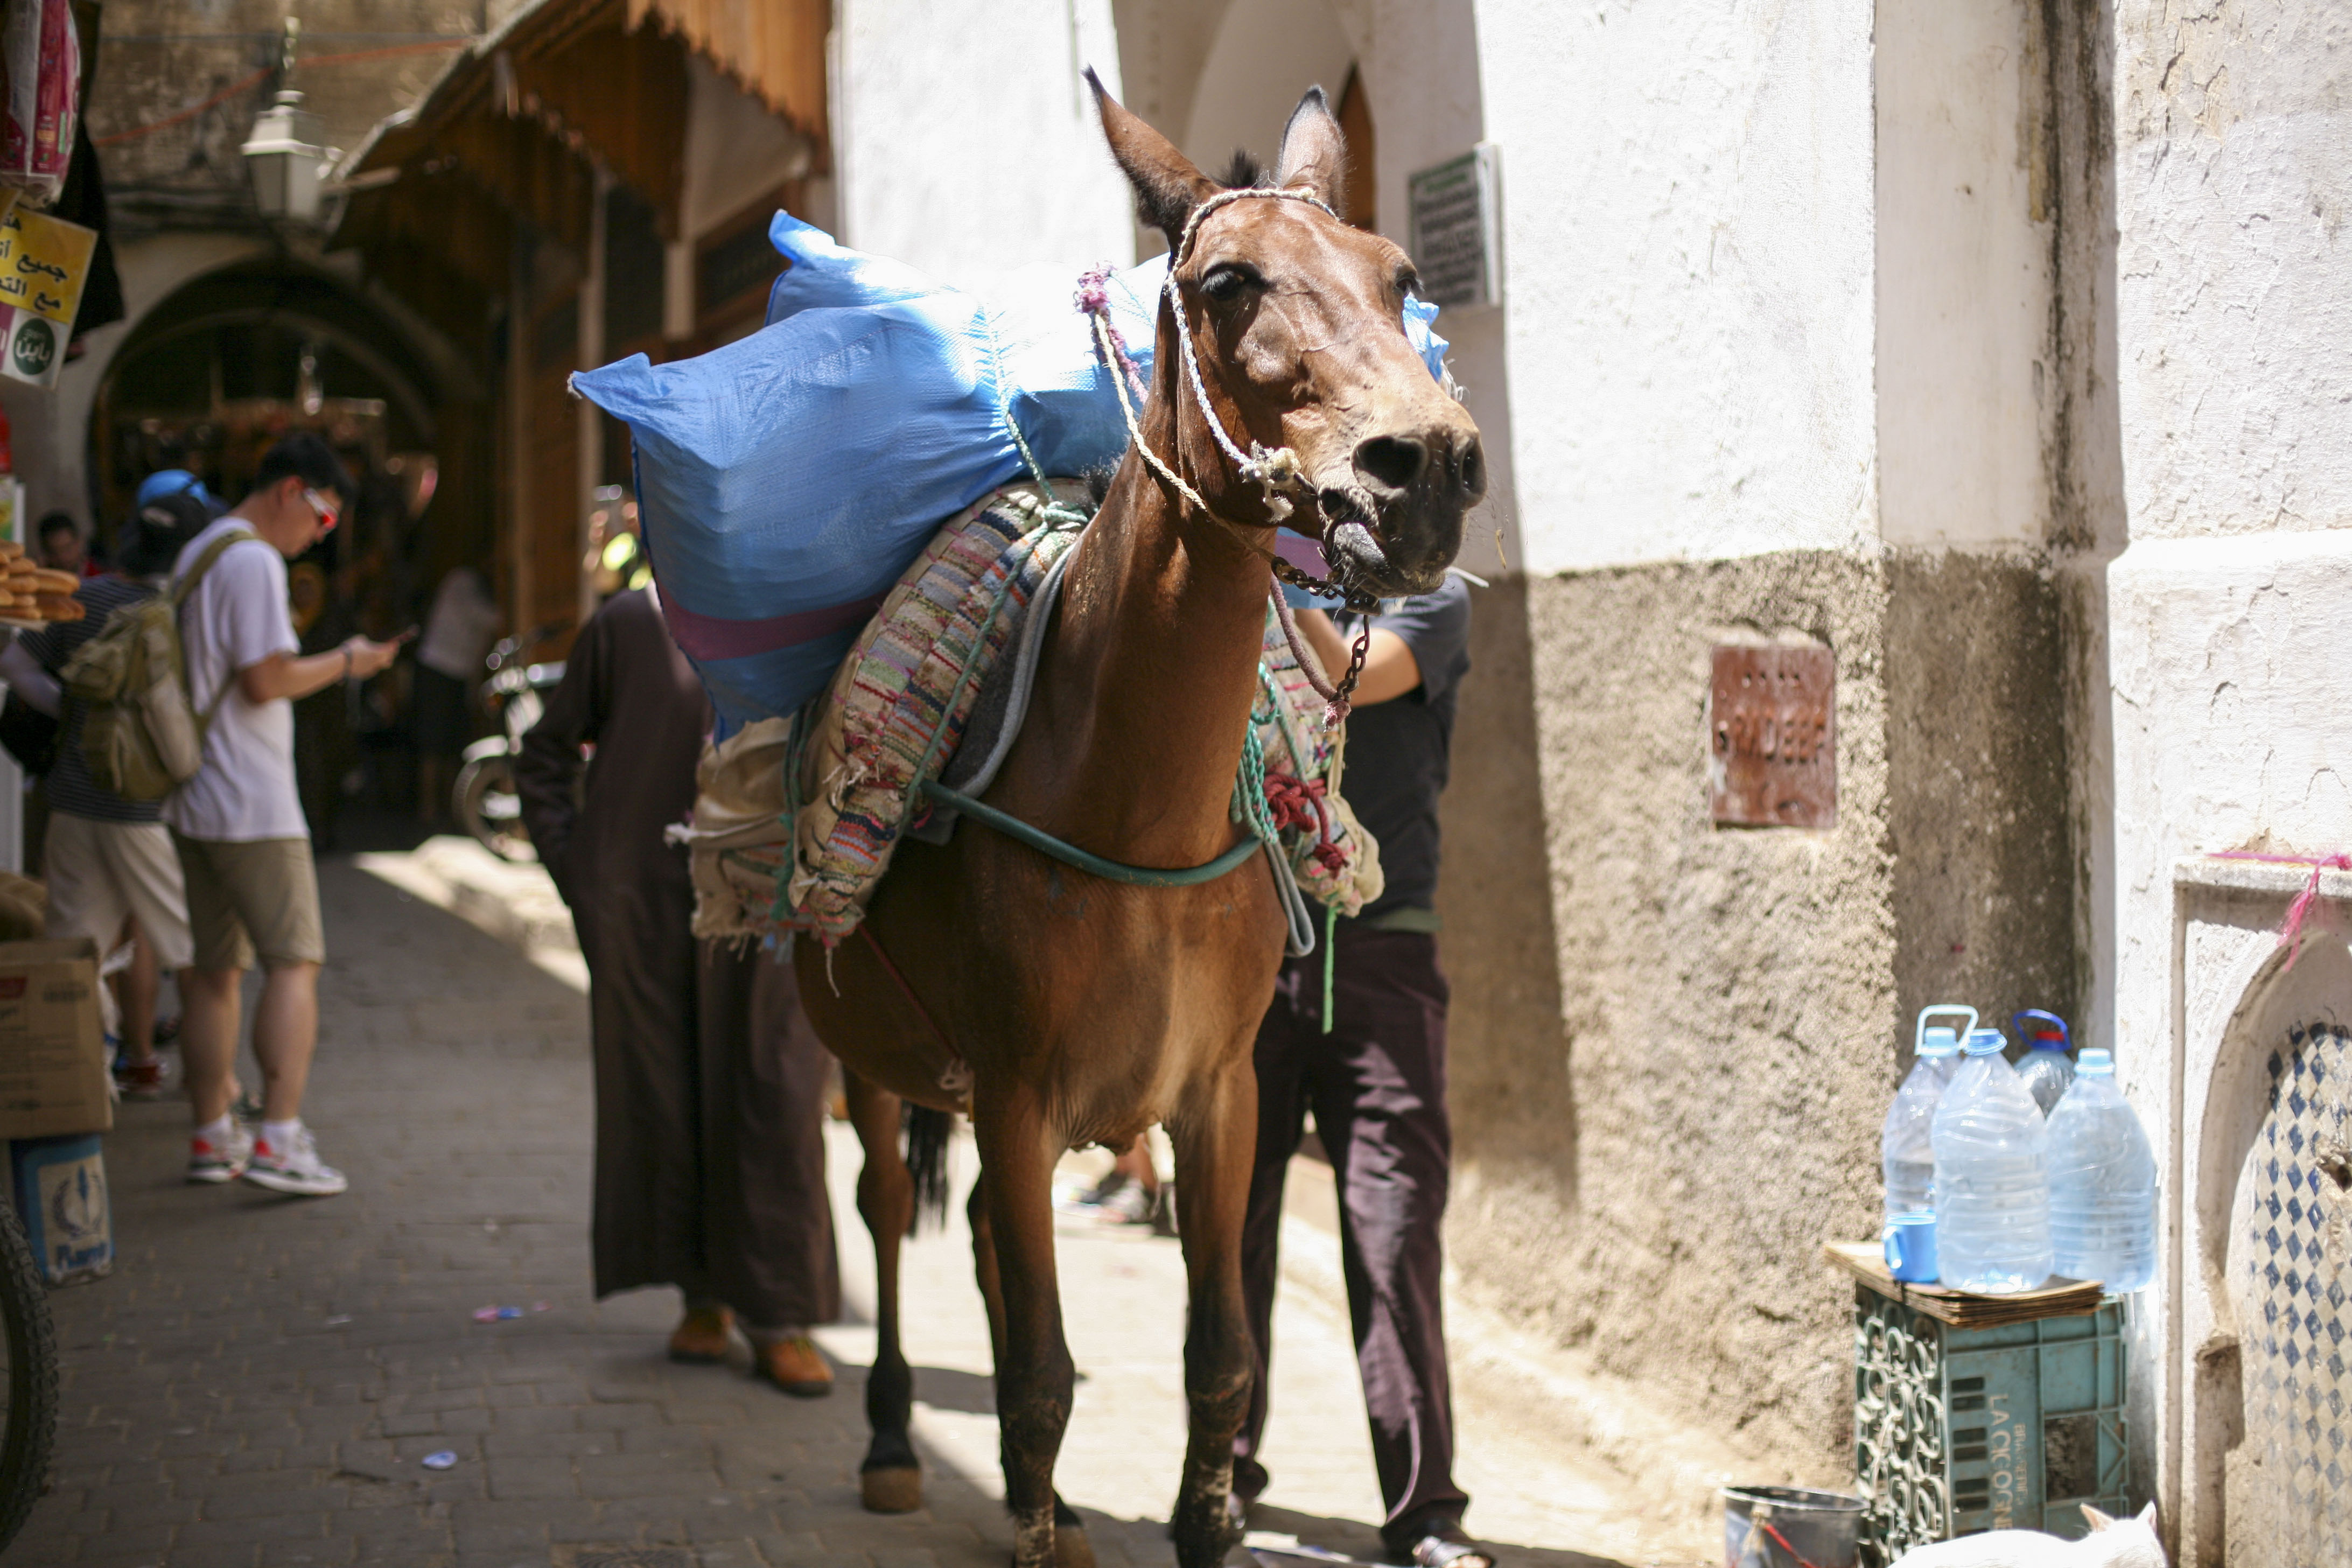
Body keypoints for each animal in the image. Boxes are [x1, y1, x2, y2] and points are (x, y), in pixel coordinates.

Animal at [793, 74, 1486, 1568]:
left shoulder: (1219, 1097)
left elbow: (1218, 1359)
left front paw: (1189, 1508)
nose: (1429, 466)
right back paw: (893, 1438)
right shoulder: (1017, 1095)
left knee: (980, 1234)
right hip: (868, 1054)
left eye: (1401, 277)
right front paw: (1033, 1503)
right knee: (886, 1210)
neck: (1134, 811)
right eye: (1229, 284)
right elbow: (1047, 1379)